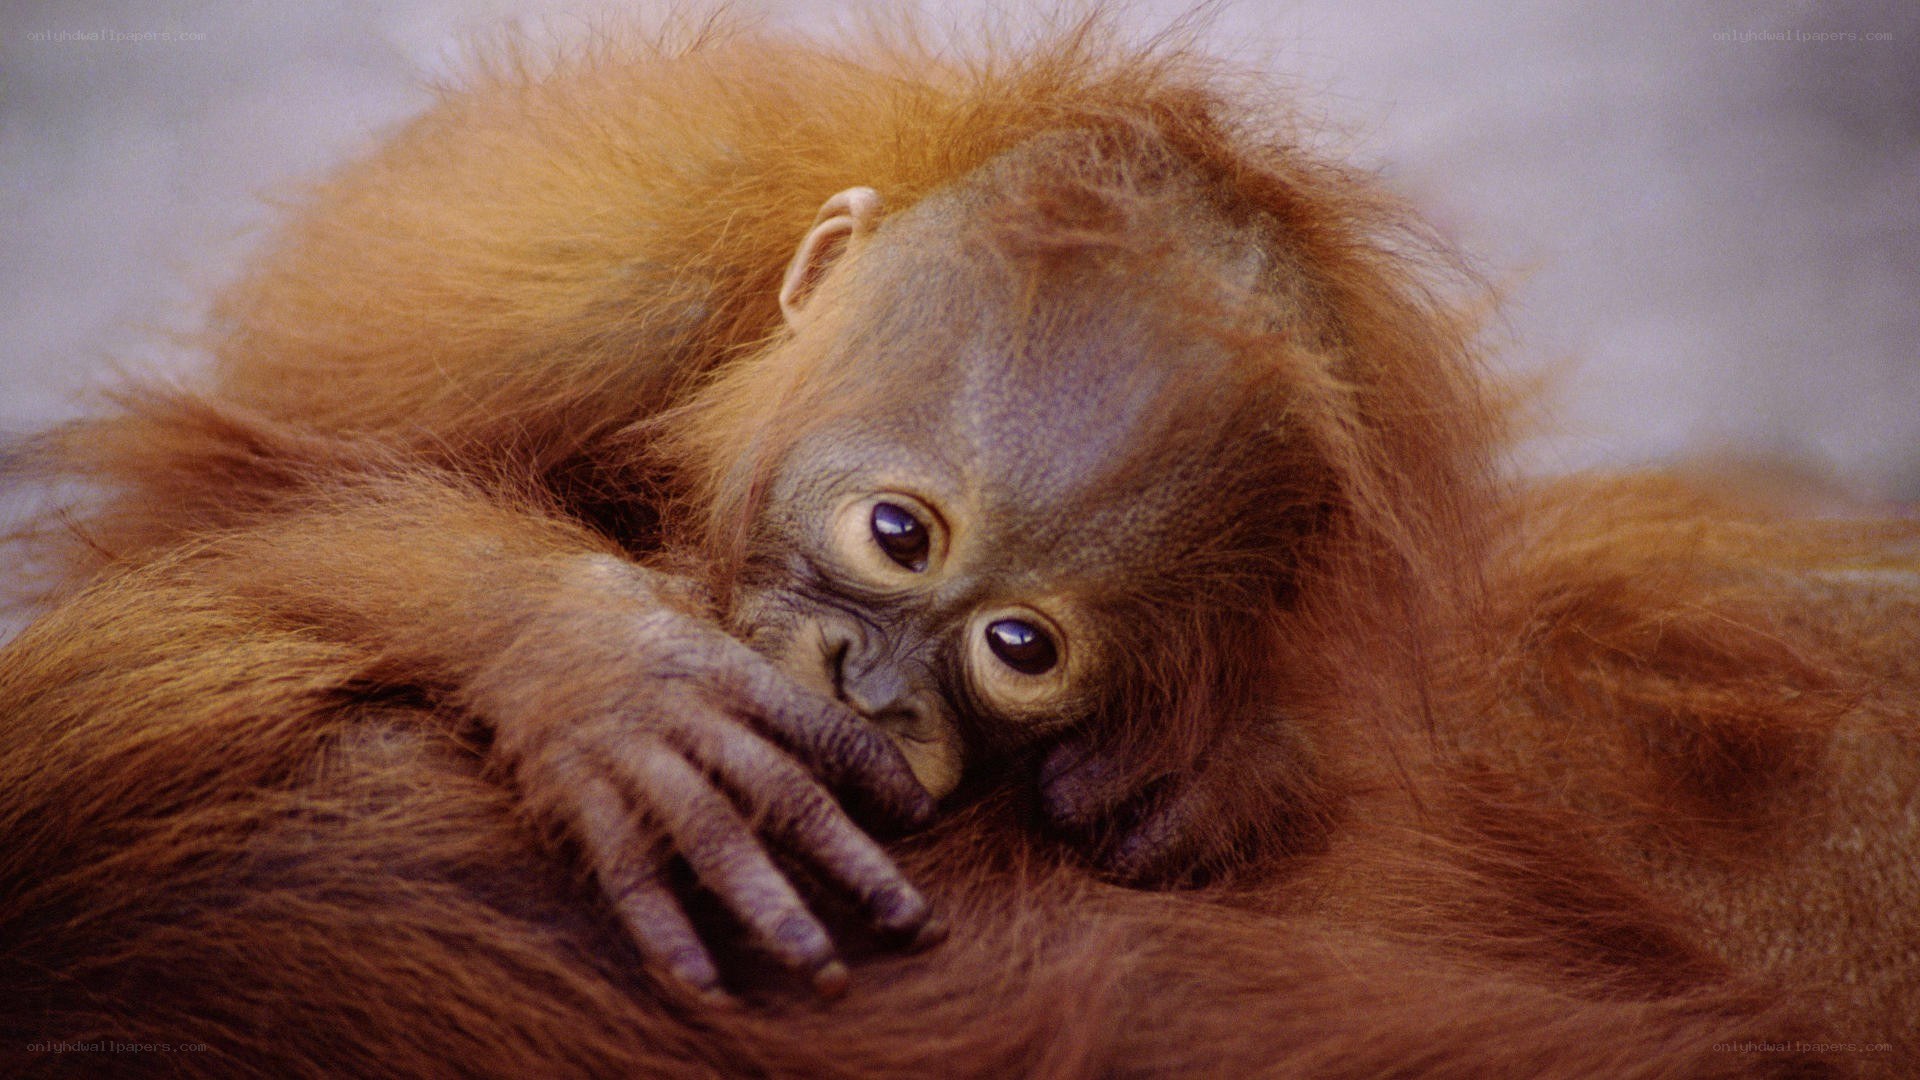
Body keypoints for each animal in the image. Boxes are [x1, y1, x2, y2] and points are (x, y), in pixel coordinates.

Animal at [2, 14, 1915, 1077]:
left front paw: (1213, 774)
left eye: (1021, 649)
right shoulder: (593, 274)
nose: (870, 687)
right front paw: (612, 679)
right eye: (897, 535)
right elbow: (233, 493)